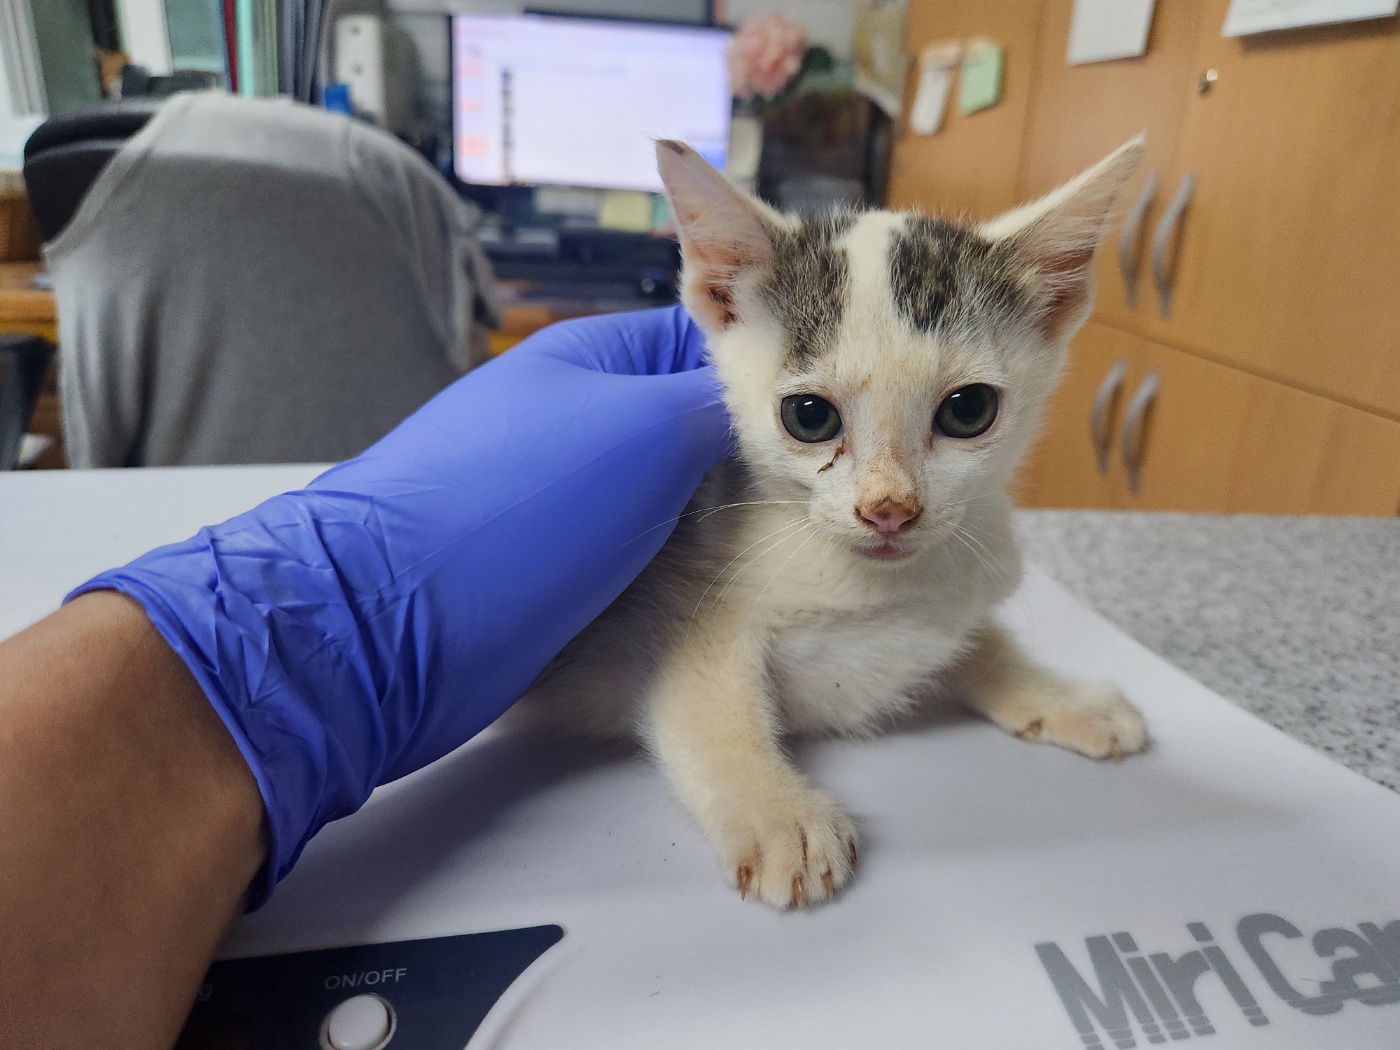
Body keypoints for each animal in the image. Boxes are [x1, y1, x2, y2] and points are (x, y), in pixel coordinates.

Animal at [515, 137, 1148, 912]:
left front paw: (1054, 693)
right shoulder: (672, 588)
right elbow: (704, 701)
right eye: (809, 417)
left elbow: (975, 638)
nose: (889, 509)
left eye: (969, 410)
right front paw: (776, 813)